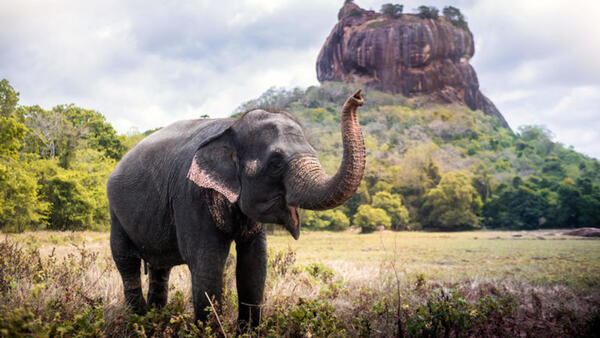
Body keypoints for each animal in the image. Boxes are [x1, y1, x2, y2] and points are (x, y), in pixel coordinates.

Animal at [106, 90, 366, 328]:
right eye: (275, 164)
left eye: (314, 153)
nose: (358, 96)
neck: (231, 126)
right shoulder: (191, 195)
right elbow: (207, 261)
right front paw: (209, 330)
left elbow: (254, 261)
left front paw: (248, 330)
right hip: (115, 213)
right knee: (126, 262)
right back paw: (138, 321)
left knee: (160, 268)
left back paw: (154, 320)